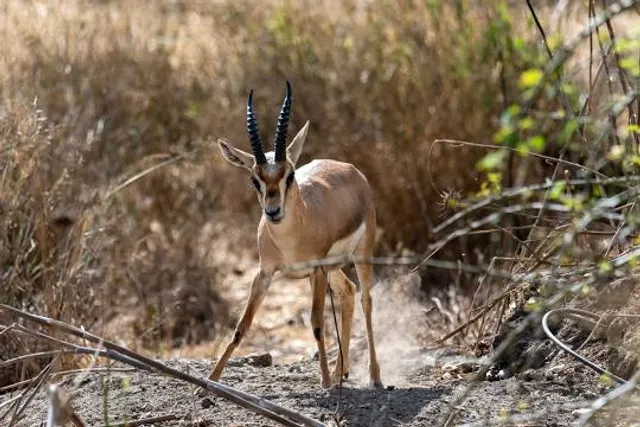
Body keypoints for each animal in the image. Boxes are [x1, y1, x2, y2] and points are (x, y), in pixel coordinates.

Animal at [207, 81, 382, 389]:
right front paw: (209, 381)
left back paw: (374, 377)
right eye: (255, 179)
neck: (291, 238)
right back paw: (341, 371)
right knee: (348, 292)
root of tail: (350, 169)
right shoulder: (264, 272)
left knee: (366, 300)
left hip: (361, 254)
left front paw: (324, 382)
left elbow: (316, 323)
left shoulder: (316, 270)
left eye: (289, 175)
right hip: (333, 268)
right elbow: (242, 326)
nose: (273, 211)